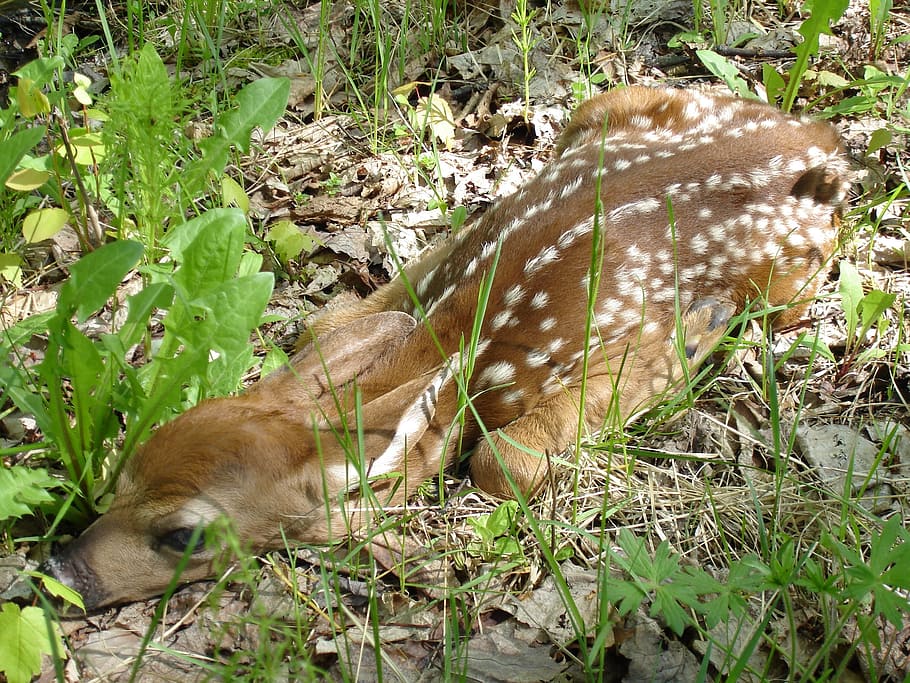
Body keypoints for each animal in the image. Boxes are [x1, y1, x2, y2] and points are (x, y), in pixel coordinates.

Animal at [42, 86, 850, 609]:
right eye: (119, 470)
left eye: (182, 537)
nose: (61, 571)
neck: (462, 346)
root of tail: (822, 143)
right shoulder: (429, 281)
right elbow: (326, 327)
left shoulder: (619, 340)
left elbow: (503, 463)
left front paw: (702, 330)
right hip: (611, 104)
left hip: (792, 277)